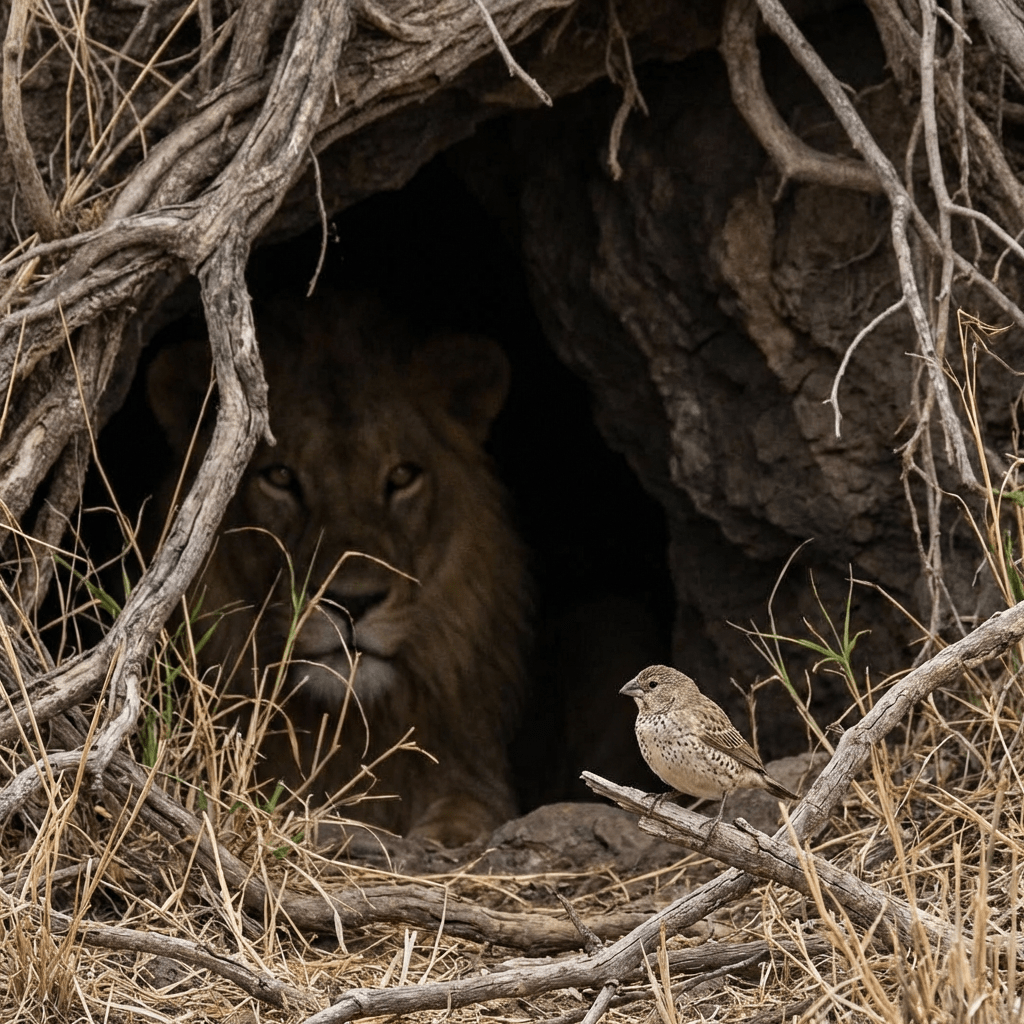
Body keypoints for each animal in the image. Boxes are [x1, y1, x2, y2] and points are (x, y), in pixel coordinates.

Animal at [147, 292, 531, 845]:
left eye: (401, 476)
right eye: (280, 476)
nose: (351, 602)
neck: (349, 725)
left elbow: (472, 806)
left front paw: (446, 835)